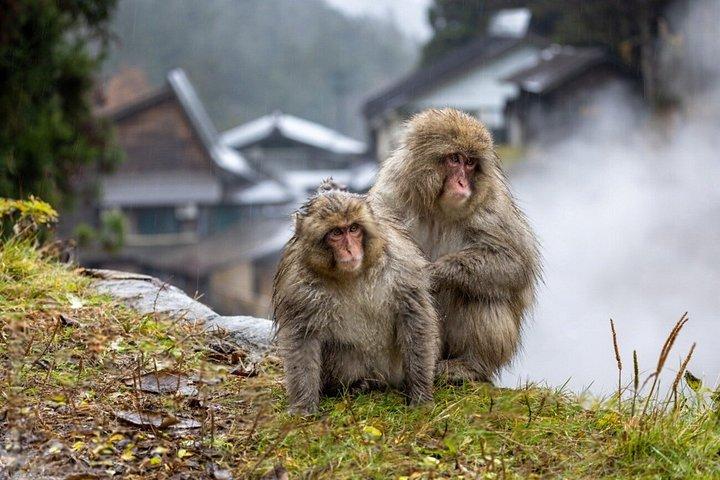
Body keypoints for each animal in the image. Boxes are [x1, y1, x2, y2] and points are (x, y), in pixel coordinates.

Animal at [272, 181, 439, 414]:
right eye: (336, 233)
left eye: (353, 229)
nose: (350, 249)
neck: (352, 274)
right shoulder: (298, 283)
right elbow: (302, 336)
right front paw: (303, 406)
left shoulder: (401, 264)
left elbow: (413, 316)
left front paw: (421, 396)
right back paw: (355, 385)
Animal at [369, 108, 541, 384]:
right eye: (455, 158)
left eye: (470, 163)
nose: (462, 183)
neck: (435, 208)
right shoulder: (390, 193)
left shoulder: (491, 206)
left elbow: (515, 264)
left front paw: (434, 273)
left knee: (480, 292)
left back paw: (470, 365)